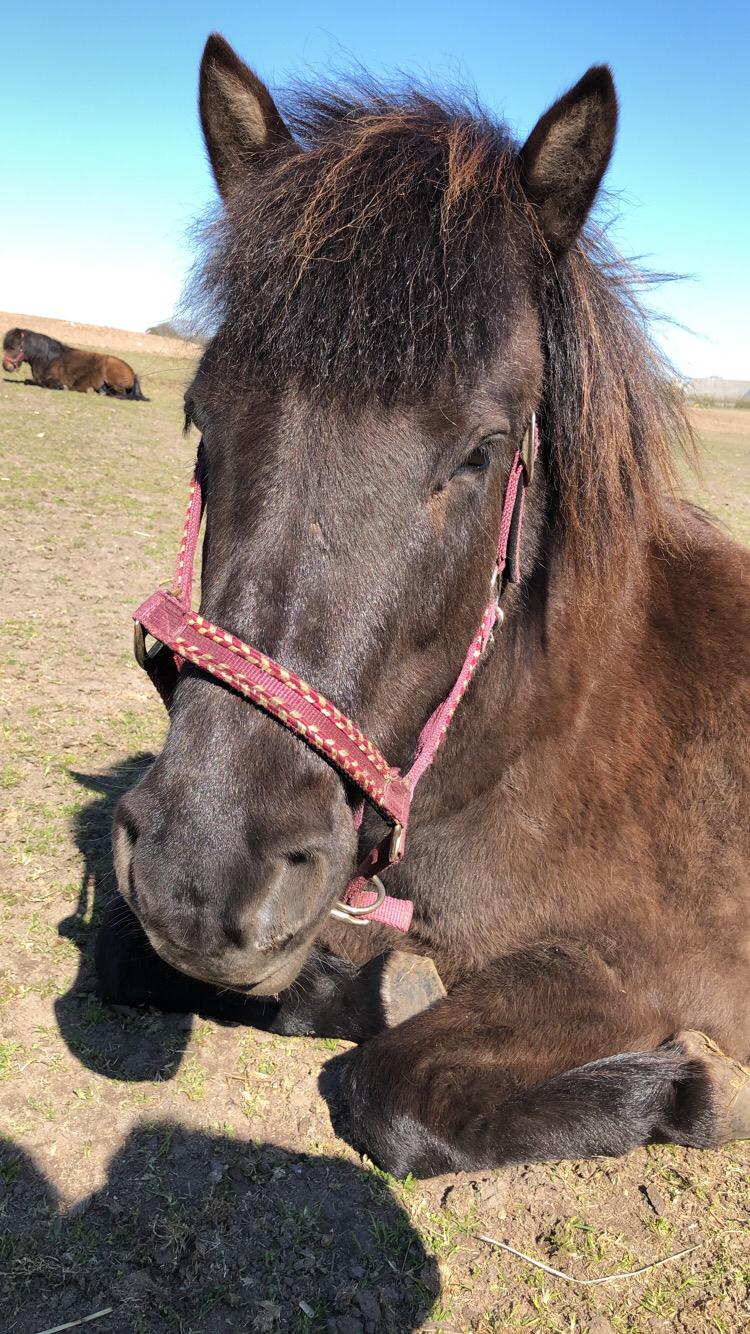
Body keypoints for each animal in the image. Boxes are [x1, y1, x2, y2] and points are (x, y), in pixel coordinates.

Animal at [2, 326, 146, 397]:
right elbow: (28, 381)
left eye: (13, 347)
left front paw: (62, 387)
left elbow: (45, 384)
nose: (6, 366)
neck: (49, 359)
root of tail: (132, 373)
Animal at [94, 33, 747, 1179]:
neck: (543, 730)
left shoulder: (637, 966)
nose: (203, 877)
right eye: (200, 416)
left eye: (482, 452)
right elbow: (122, 956)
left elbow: (390, 1092)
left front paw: (685, 1091)